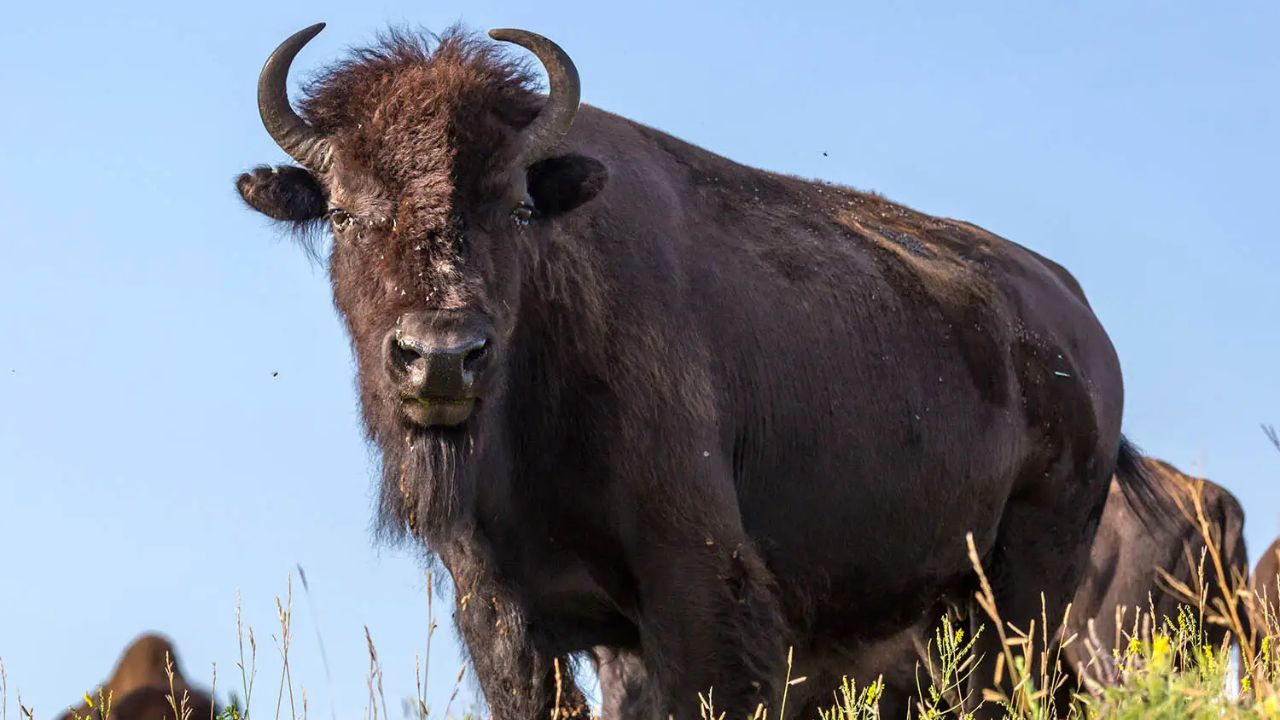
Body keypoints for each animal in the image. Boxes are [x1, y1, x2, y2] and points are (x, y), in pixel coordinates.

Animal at [236, 23, 1163, 719]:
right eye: (344, 213)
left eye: (519, 205)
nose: (440, 355)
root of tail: (1079, 329)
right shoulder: (504, 612)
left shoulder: (697, 589)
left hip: (1029, 583)